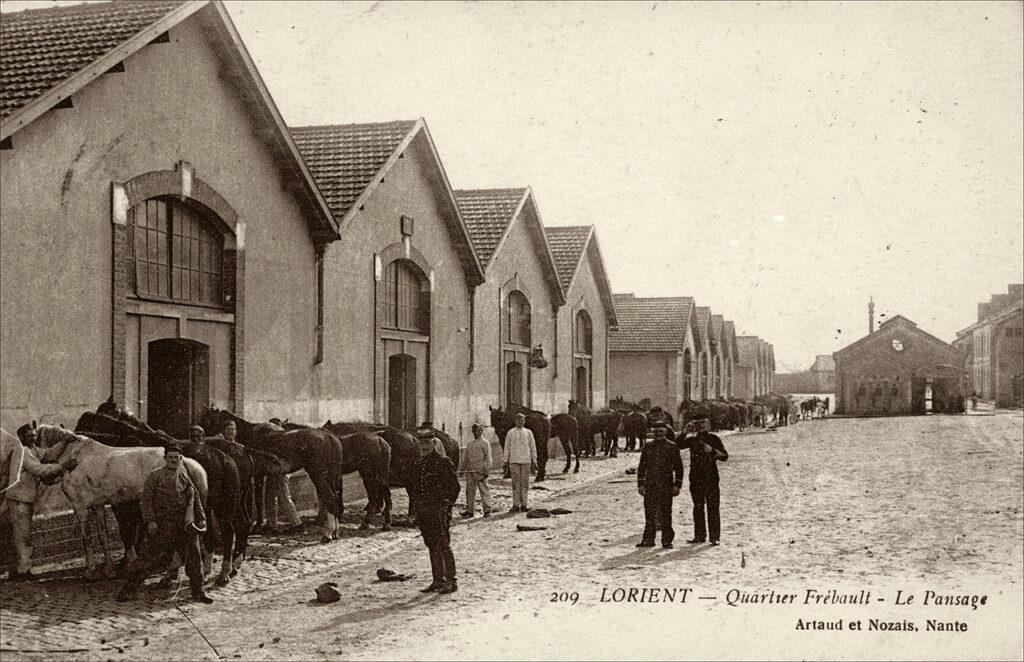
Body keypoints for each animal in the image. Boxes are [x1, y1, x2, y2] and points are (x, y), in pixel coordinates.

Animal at [36, 426, 209, 582]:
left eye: (37, 442)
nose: (44, 477)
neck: (74, 457)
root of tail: (183, 460)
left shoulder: (80, 507)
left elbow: (86, 538)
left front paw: (90, 571)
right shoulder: (98, 506)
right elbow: (102, 536)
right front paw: (109, 570)